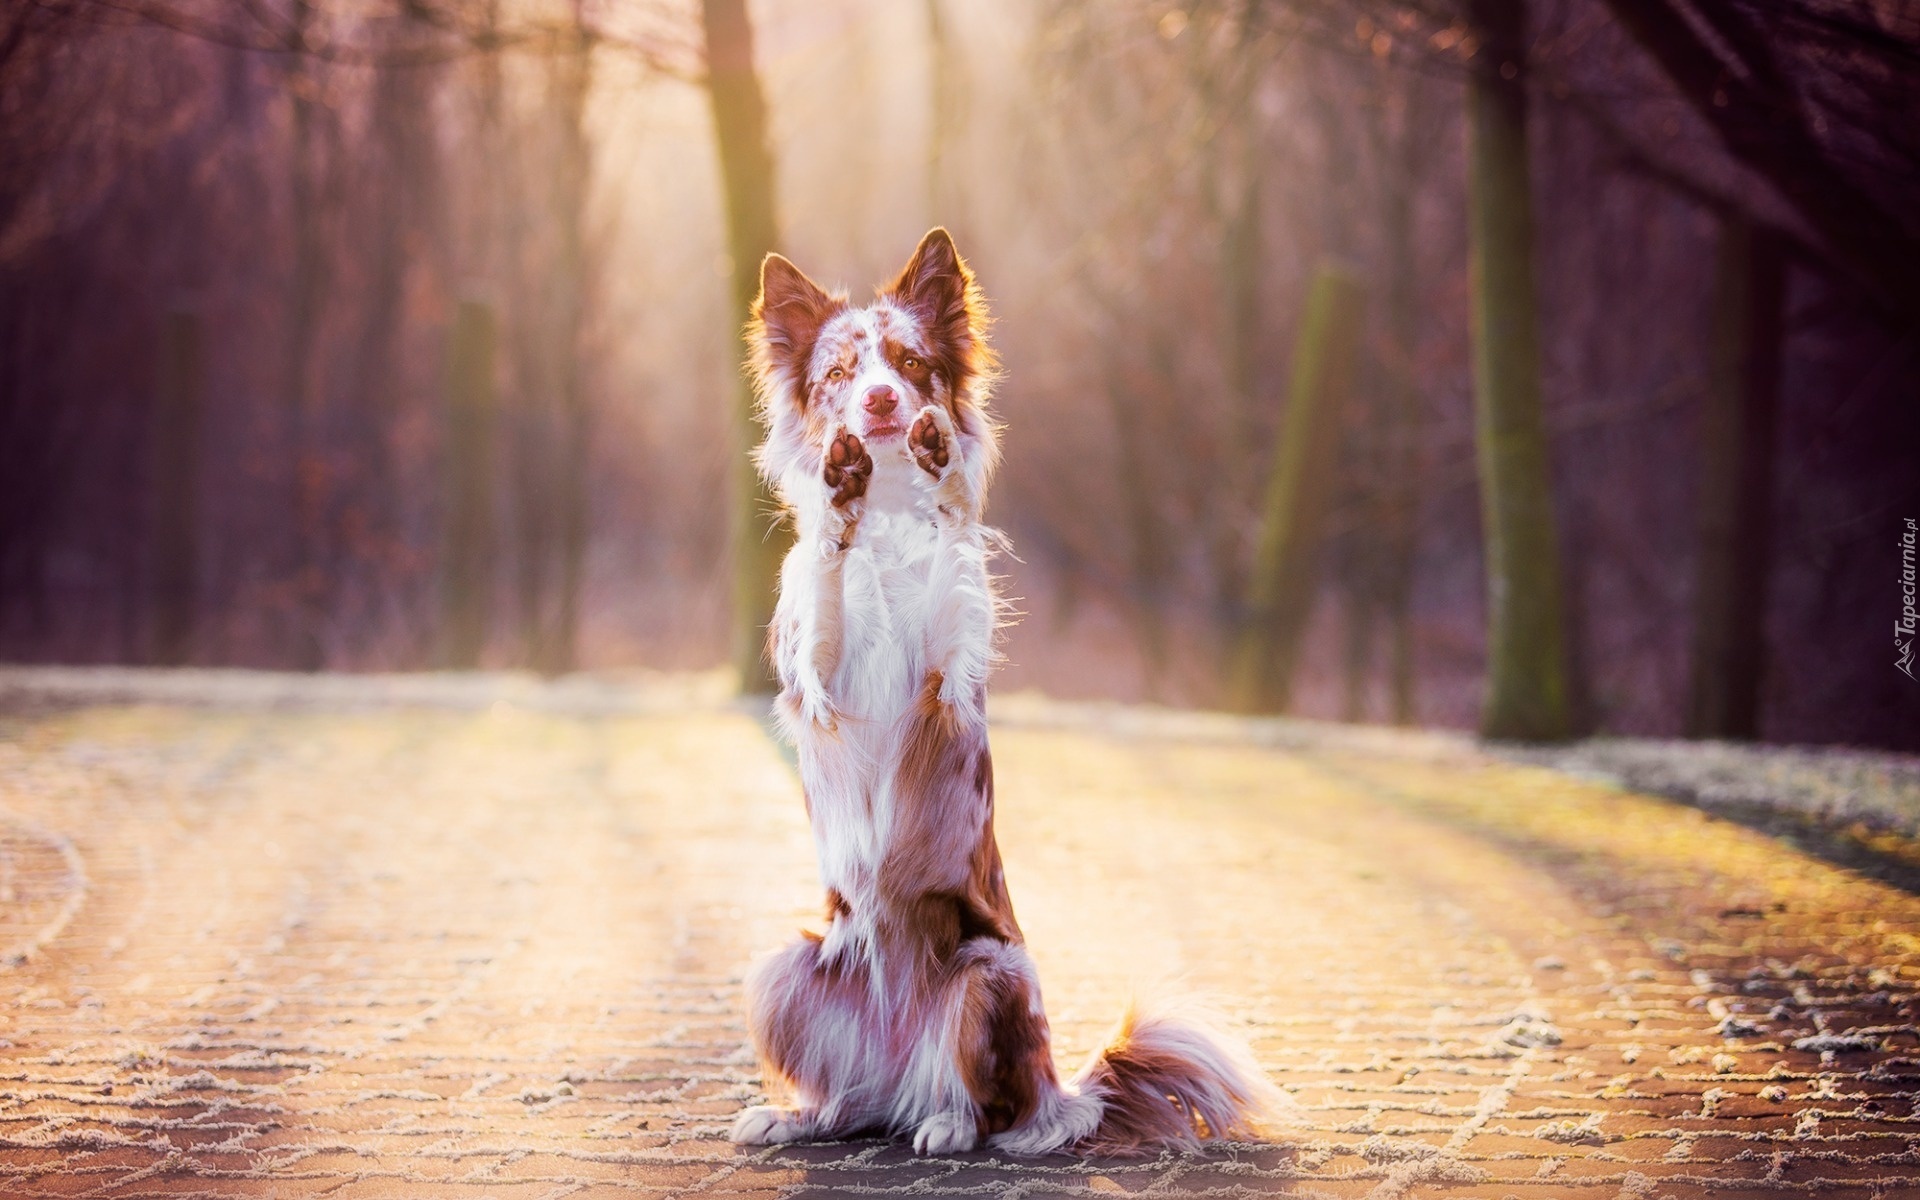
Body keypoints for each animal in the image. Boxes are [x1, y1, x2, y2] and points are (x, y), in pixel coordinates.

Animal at [725, 229, 1282, 1159]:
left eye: (911, 363)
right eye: (841, 371)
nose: (883, 400)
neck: (886, 512)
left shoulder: (946, 683)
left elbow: (949, 550)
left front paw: (942, 467)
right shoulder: (820, 680)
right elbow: (832, 579)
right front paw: (839, 502)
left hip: (991, 975)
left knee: (992, 1108)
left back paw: (950, 1123)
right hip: (786, 971)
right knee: (854, 1100)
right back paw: (803, 1114)